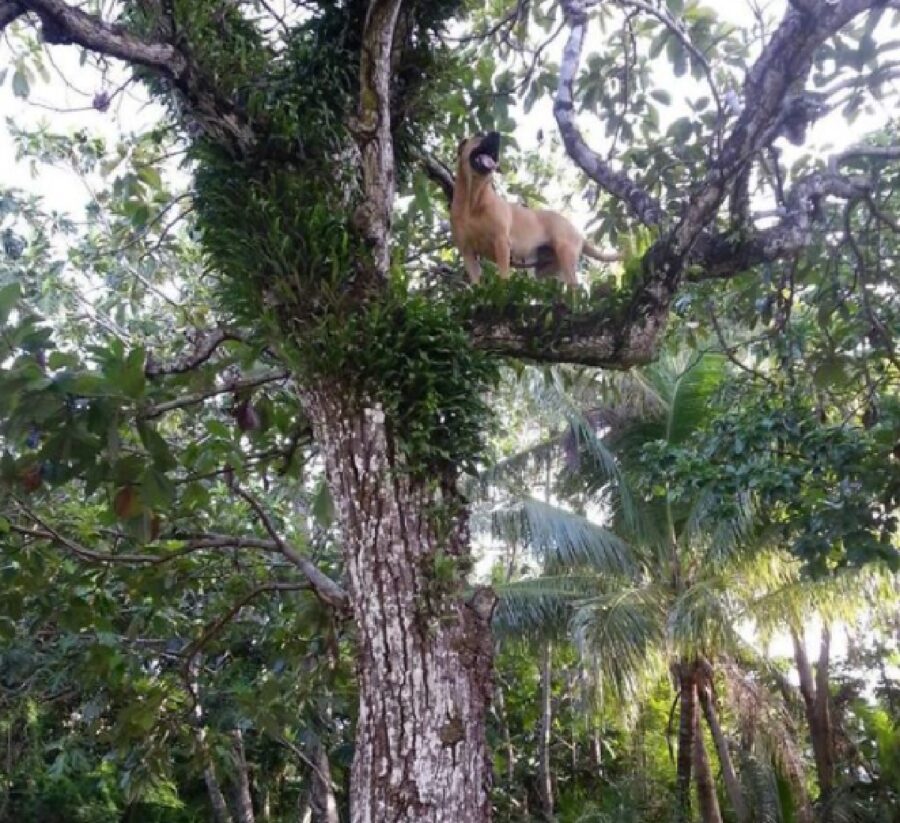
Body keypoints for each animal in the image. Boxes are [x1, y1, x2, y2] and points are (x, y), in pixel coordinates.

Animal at [450, 134, 620, 288]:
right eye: (479, 135)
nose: (497, 135)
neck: (473, 200)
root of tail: (578, 233)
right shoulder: (467, 252)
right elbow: (476, 282)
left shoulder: (501, 242)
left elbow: (503, 275)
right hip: (548, 270)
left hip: (566, 254)